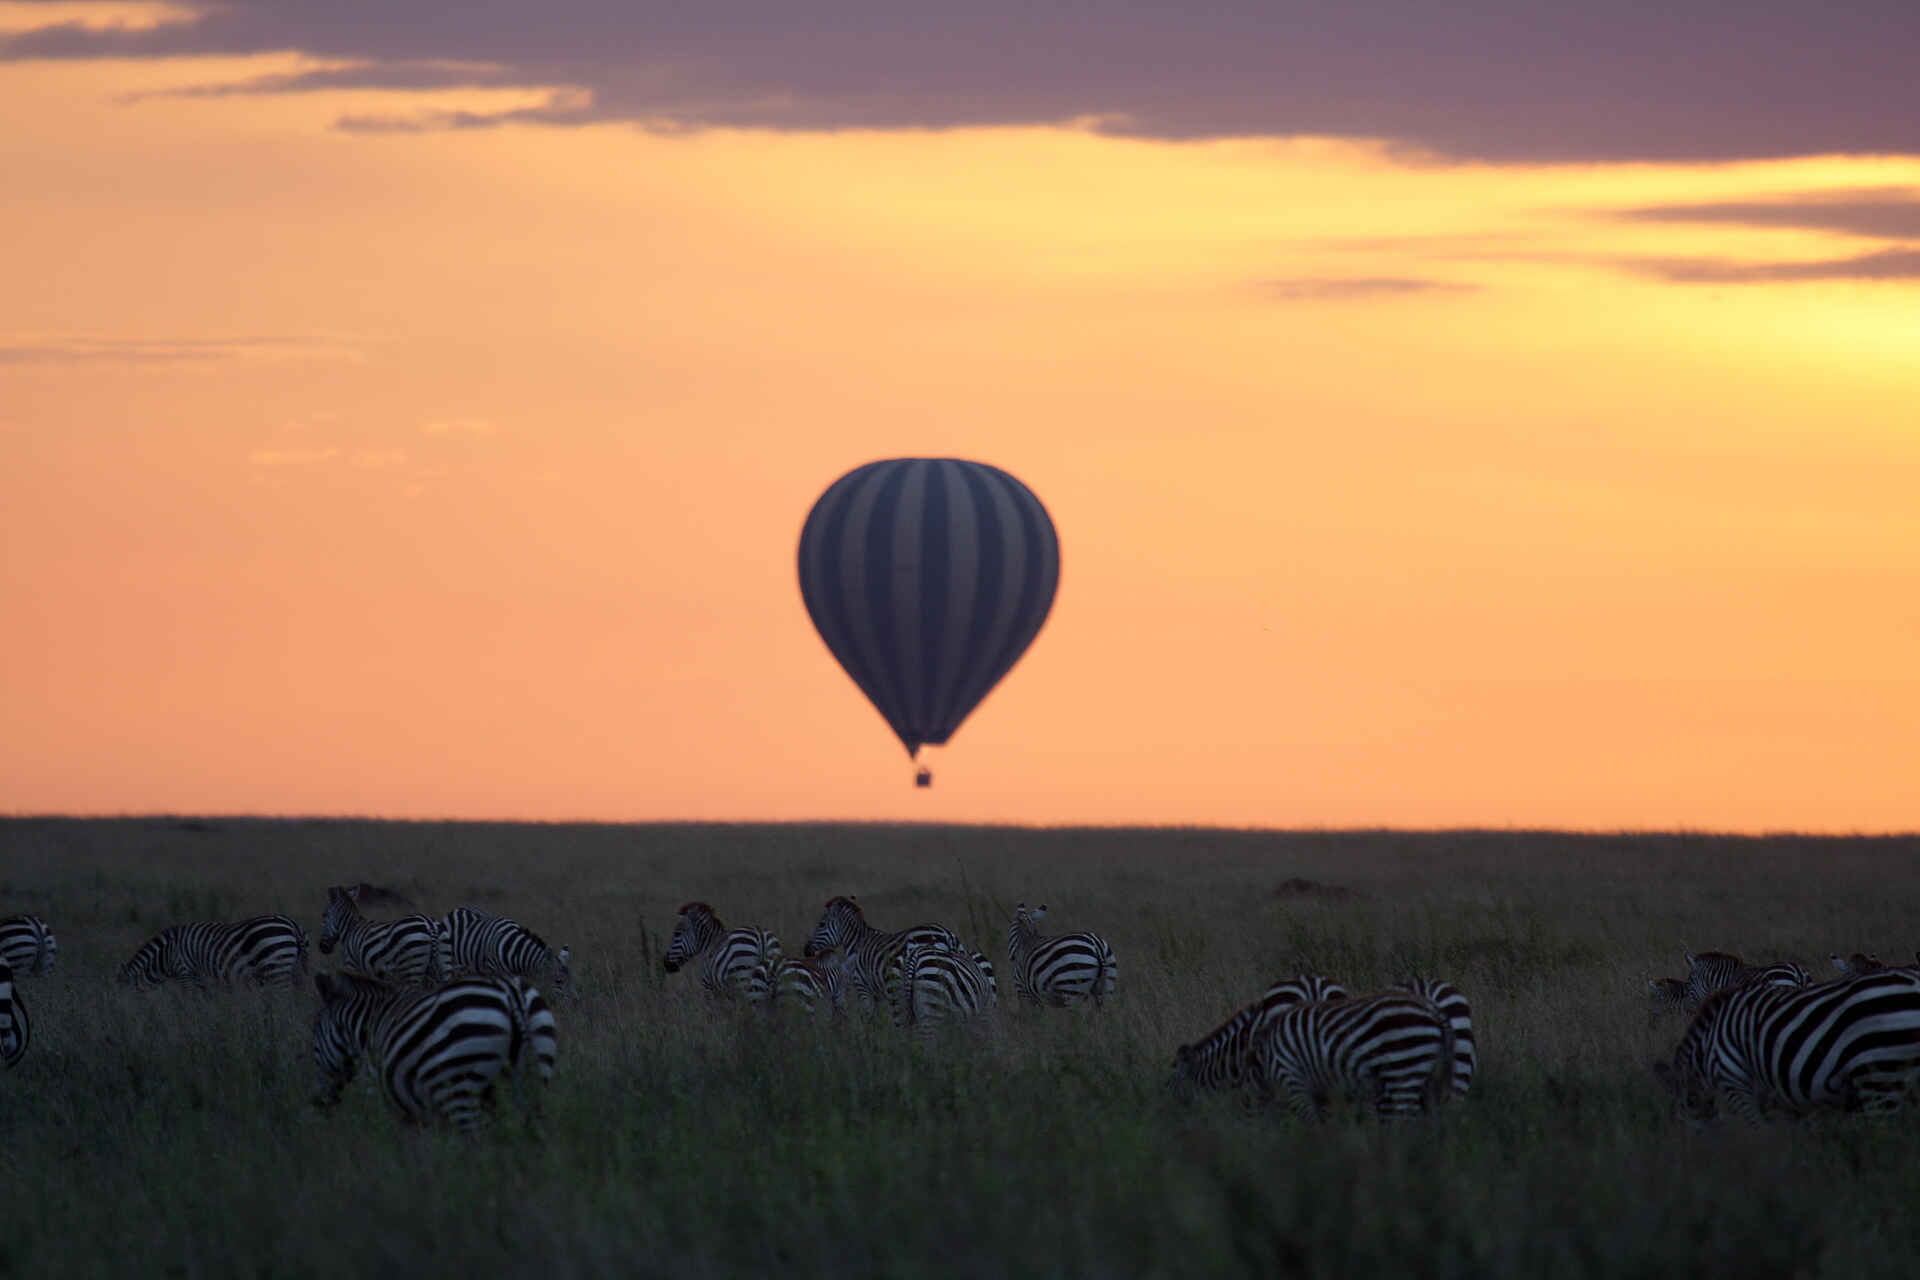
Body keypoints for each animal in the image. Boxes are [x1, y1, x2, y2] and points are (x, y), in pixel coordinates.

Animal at [116, 915, 309, 989]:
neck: (166, 955)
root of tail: (293, 926)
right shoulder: (199, 976)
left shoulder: (185, 972)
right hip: (292, 969)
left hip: (277, 968)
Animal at [312, 971, 557, 1132]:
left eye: (314, 1039)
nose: (318, 1104)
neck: (370, 1026)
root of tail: (512, 994)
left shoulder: (394, 1102)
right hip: (533, 1082)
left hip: (460, 1089)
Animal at [436, 907, 570, 995]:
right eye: (558, 981)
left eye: (571, 979)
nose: (573, 1006)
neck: (515, 952)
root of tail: (459, 908)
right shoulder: (493, 972)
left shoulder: (514, 976)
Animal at [804, 896, 967, 1011]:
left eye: (821, 925)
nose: (806, 950)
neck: (857, 943)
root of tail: (948, 935)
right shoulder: (877, 994)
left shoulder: (863, 987)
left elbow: (868, 1019)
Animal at [1247, 990, 1456, 1121]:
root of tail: (1434, 1010)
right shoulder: (1322, 1093)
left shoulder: (1292, 1080)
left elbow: (1313, 1127)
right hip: (1429, 1079)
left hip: (1404, 1068)